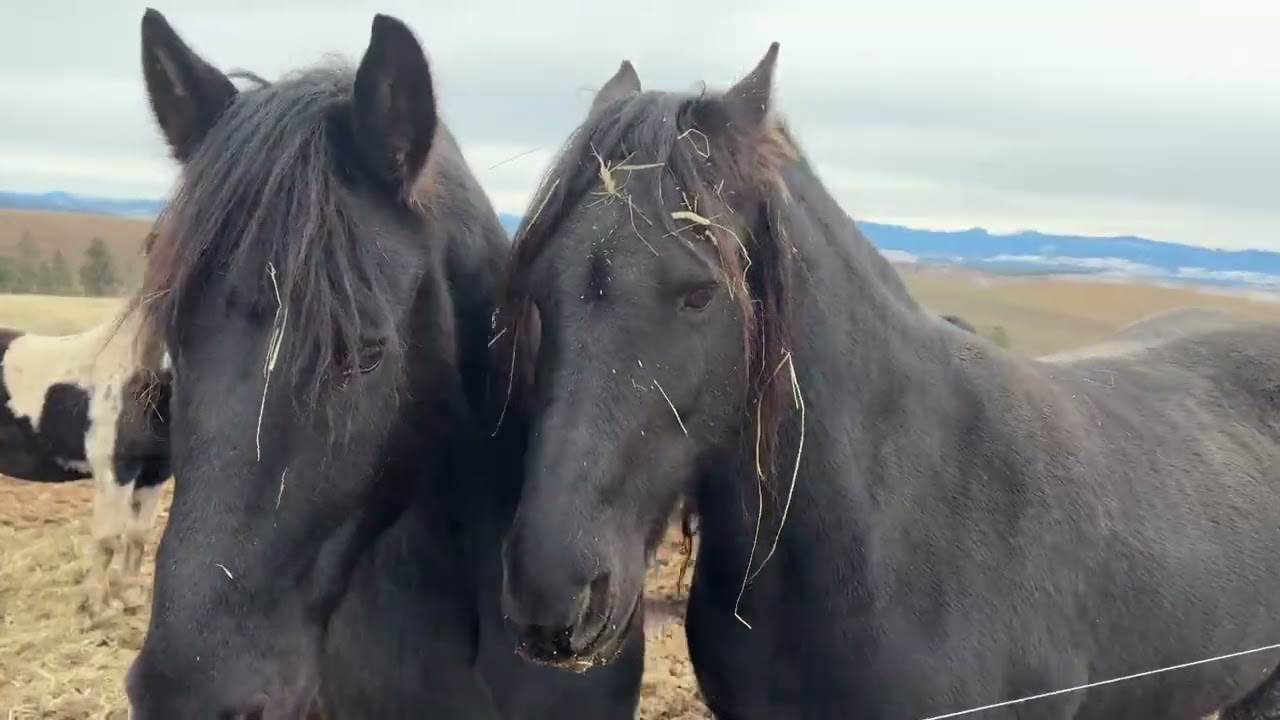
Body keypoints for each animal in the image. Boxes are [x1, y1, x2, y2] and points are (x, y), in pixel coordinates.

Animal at [0, 292, 172, 618]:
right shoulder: (114, 472)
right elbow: (108, 539)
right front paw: (100, 608)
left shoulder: (153, 474)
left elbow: (138, 536)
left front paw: (130, 597)